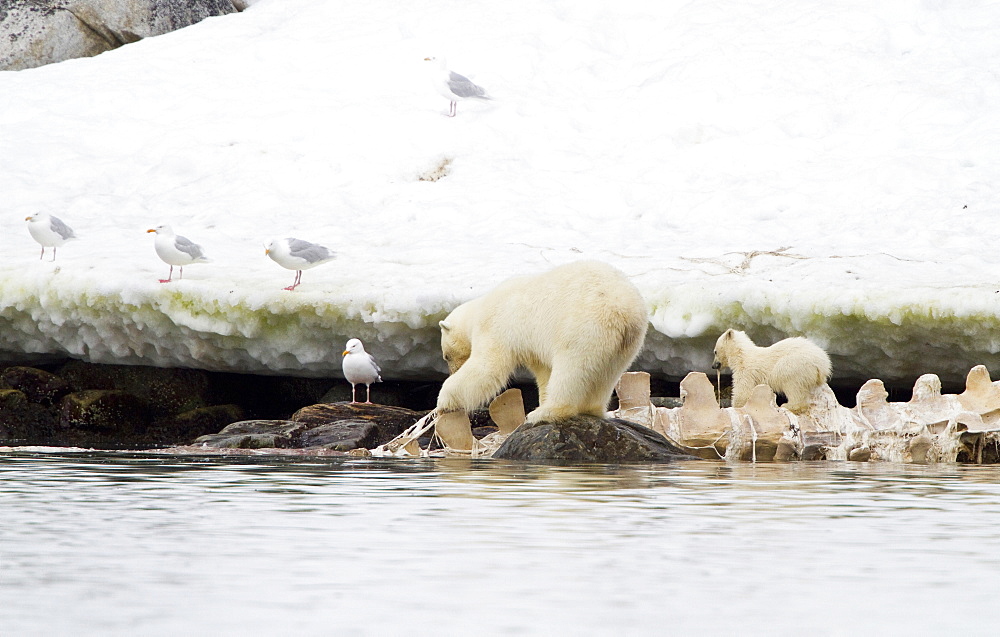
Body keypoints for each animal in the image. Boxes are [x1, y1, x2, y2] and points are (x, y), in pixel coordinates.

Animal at [438, 260, 648, 424]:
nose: (452, 370)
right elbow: (543, 371)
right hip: (627, 342)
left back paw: (544, 413)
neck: (477, 310)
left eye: (446, 356)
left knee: (571, 370)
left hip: (584, 328)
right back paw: (591, 409)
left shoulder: (495, 327)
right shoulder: (532, 347)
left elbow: (486, 368)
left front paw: (443, 402)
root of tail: (623, 310)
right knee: (608, 373)